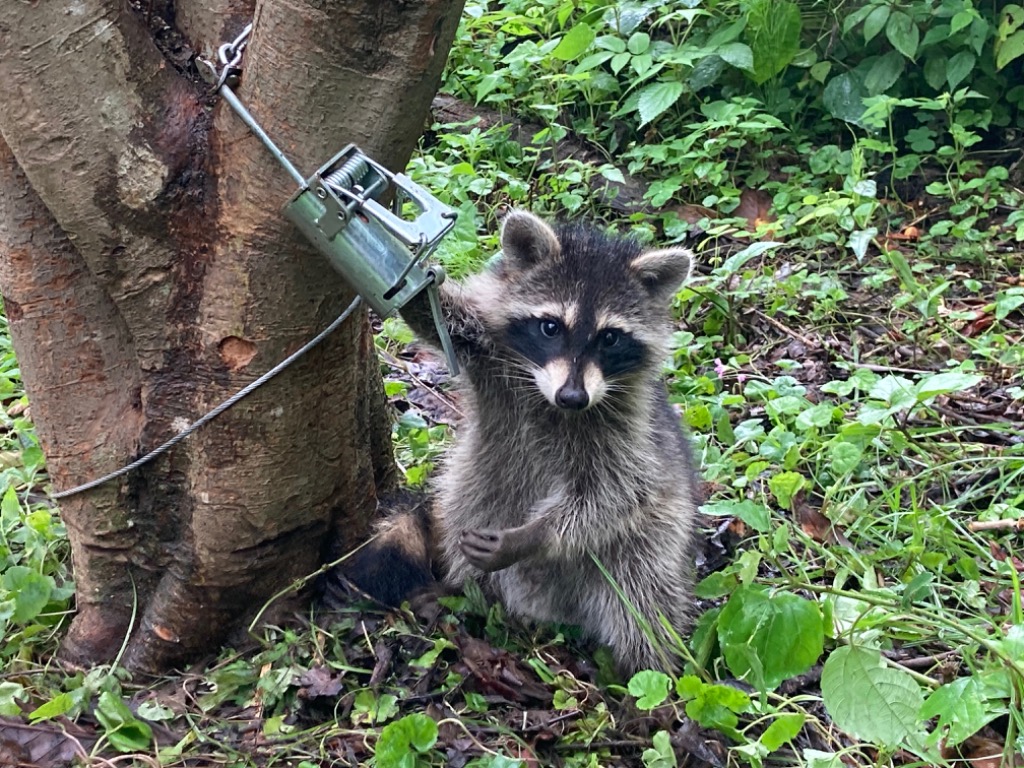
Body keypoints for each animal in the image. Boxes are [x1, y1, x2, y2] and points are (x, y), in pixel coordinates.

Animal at [344, 210, 704, 671]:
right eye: (550, 327)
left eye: (609, 338)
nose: (573, 397)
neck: (547, 396)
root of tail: (549, 608)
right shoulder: (489, 354)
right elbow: (442, 321)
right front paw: (407, 285)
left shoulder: (628, 426)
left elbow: (615, 493)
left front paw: (535, 535)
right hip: (472, 493)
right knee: (463, 507)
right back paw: (464, 595)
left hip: (656, 537)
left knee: (642, 592)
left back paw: (645, 669)